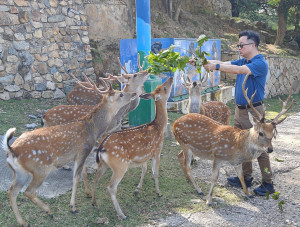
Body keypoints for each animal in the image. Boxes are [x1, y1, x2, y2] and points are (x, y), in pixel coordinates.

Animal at [0, 76, 137, 227]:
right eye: (121, 94)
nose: (134, 93)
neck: (93, 130)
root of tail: (11, 150)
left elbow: (80, 175)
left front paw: (84, 196)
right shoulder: (82, 151)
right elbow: (76, 178)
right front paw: (73, 207)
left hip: (19, 173)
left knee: (12, 192)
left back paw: (23, 222)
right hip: (40, 168)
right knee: (29, 191)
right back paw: (48, 211)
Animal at [90, 76, 172, 220]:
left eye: (161, 87)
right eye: (164, 88)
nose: (171, 77)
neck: (158, 127)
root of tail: (101, 148)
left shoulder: (144, 155)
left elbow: (144, 169)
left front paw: (137, 190)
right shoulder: (157, 150)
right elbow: (155, 173)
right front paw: (158, 192)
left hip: (103, 164)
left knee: (95, 180)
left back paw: (94, 203)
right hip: (120, 164)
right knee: (110, 187)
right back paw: (122, 214)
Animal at [172, 73, 294, 206]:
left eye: (272, 134)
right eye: (261, 133)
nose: (270, 149)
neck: (237, 146)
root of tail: (174, 123)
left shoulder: (237, 162)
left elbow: (241, 176)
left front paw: (248, 193)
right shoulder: (218, 155)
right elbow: (214, 178)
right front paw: (209, 200)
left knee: (180, 157)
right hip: (184, 143)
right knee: (187, 165)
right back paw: (199, 190)